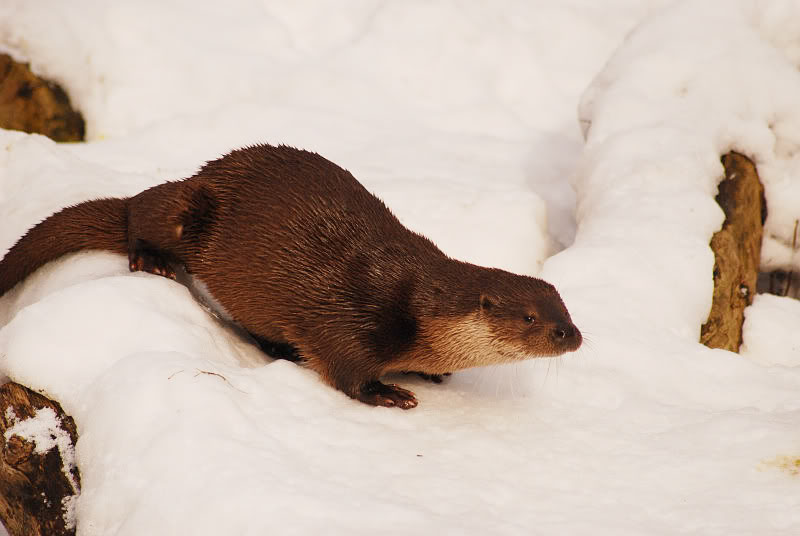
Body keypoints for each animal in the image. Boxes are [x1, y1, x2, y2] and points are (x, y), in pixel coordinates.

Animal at [0, 144, 581, 409]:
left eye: (565, 309)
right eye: (531, 318)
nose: (571, 336)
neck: (415, 307)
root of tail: (204, 174)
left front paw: (432, 375)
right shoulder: (353, 319)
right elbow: (344, 369)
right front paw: (388, 394)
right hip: (190, 208)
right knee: (140, 211)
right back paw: (152, 258)